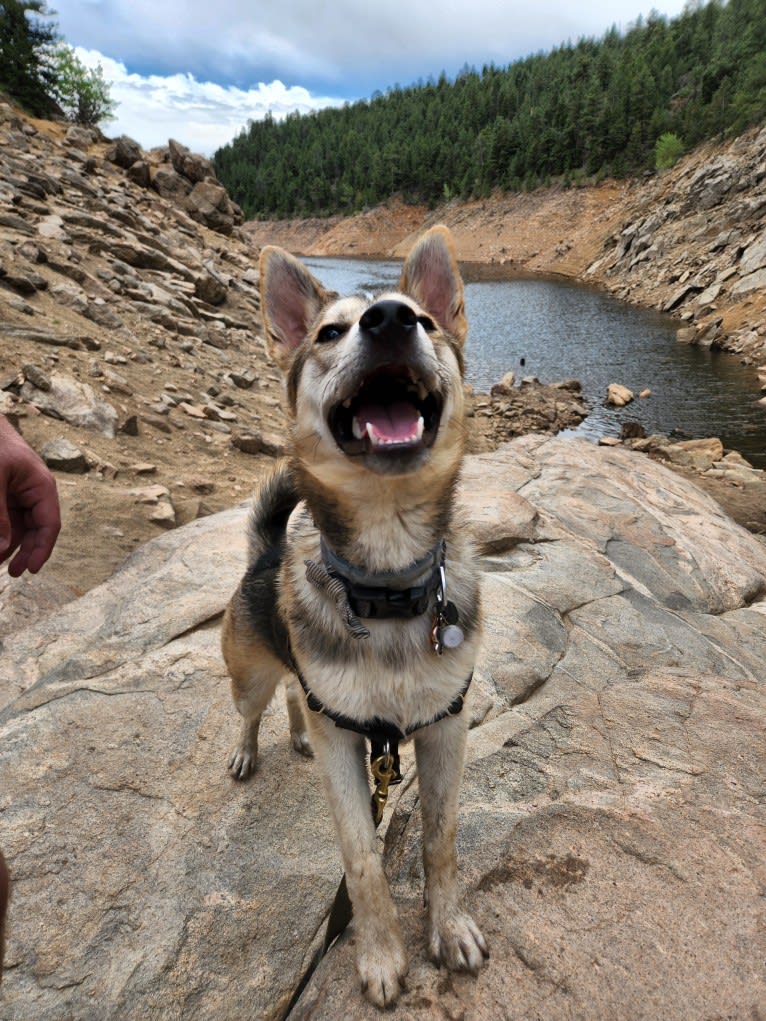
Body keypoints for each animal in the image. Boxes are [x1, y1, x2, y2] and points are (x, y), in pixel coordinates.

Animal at [218, 225, 488, 1004]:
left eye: (425, 320)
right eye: (328, 334)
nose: (391, 321)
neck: (389, 583)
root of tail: (264, 553)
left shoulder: (445, 723)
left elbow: (440, 837)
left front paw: (448, 926)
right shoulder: (348, 739)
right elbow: (362, 854)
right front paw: (380, 956)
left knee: (294, 698)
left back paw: (293, 733)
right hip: (247, 671)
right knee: (255, 704)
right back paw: (249, 748)